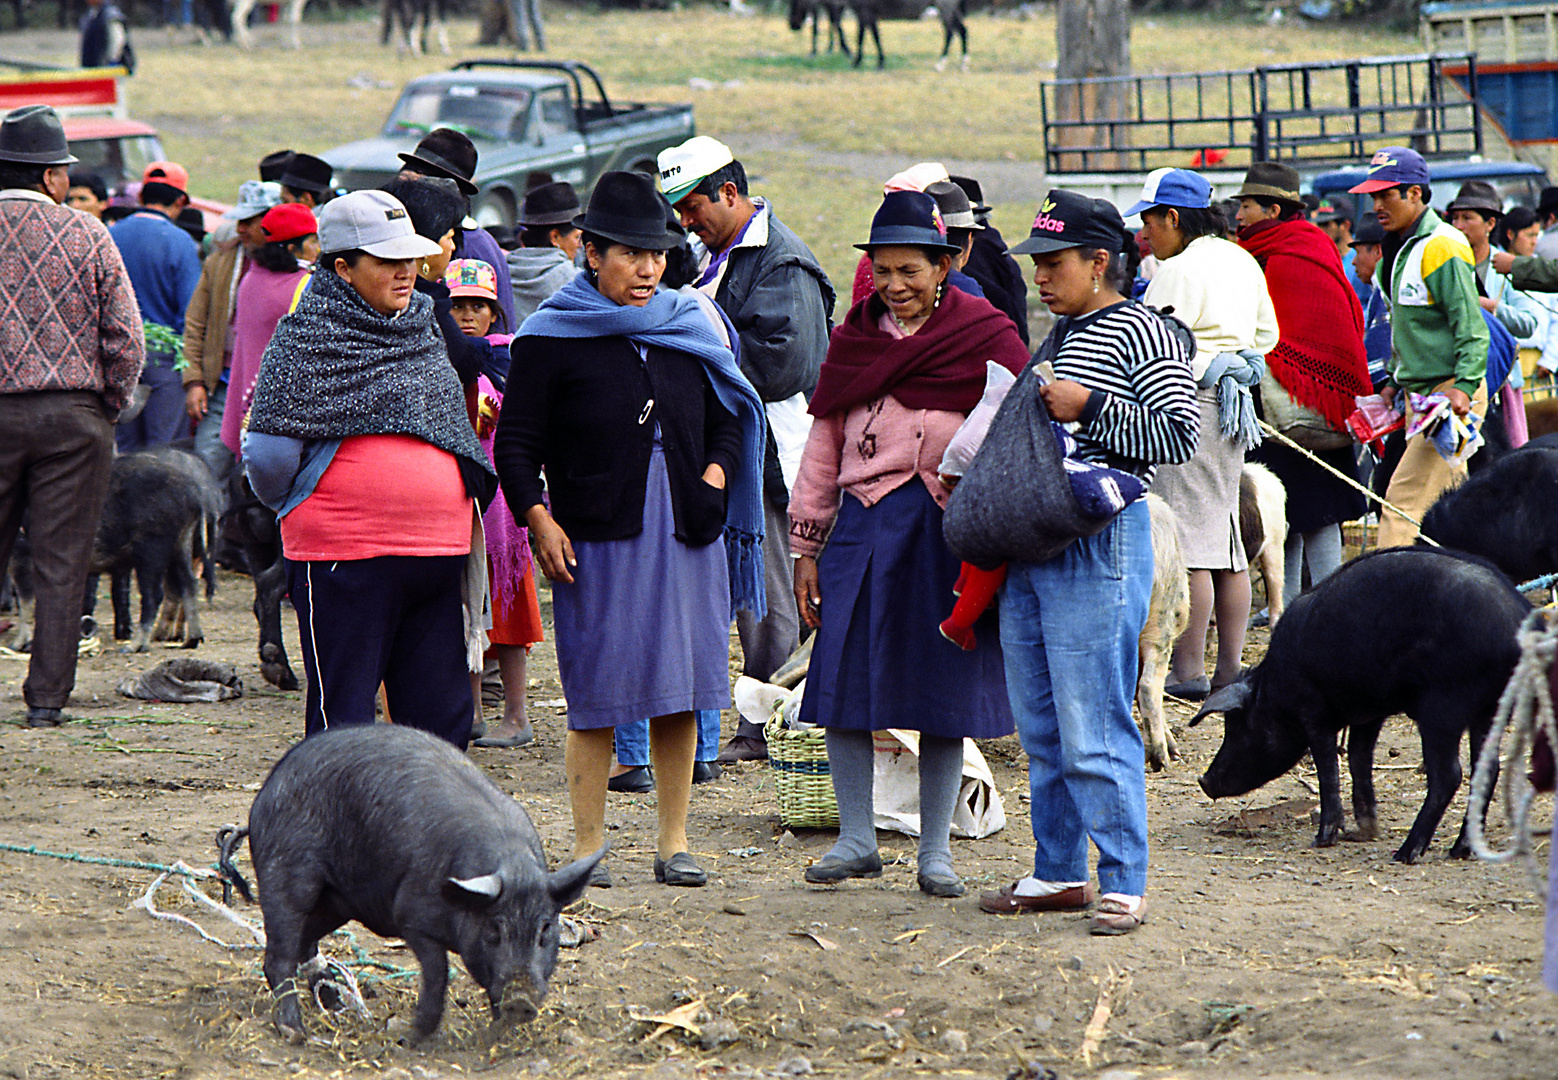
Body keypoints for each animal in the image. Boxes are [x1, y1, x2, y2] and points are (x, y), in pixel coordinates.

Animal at [216, 723, 604, 1047]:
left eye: (545, 930)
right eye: (494, 930)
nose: (521, 1000)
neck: (509, 861)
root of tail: (260, 803)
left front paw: (498, 1033)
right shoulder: (412, 917)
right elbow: (438, 974)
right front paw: (406, 1036)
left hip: (337, 900)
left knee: (304, 943)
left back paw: (338, 1004)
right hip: (286, 875)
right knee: (278, 954)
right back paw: (296, 1032)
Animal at [1190, 551, 1520, 866]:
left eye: (1237, 726)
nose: (1204, 780)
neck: (1272, 687)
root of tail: (1516, 624)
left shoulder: (1313, 711)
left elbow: (1328, 769)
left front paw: (1323, 839)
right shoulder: (1369, 713)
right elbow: (1358, 758)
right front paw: (1364, 832)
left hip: (1442, 708)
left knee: (1449, 775)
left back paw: (1405, 854)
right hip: (1489, 710)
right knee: (1488, 770)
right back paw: (1460, 851)